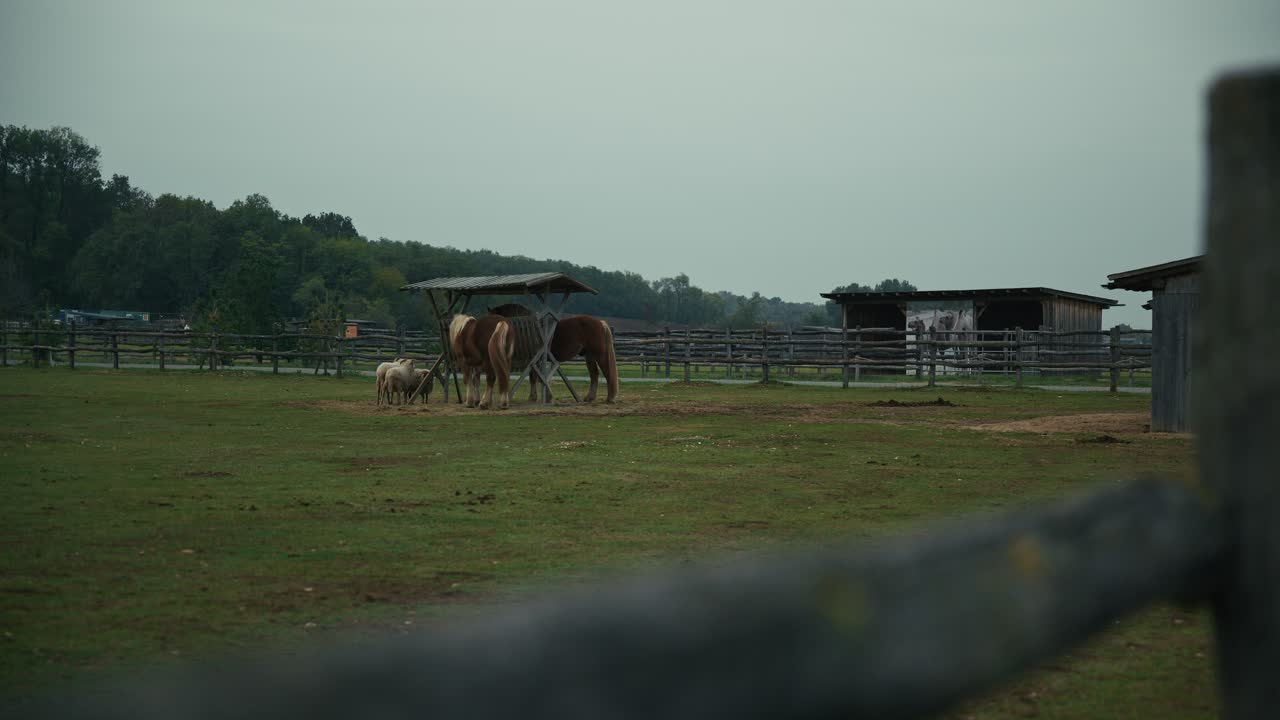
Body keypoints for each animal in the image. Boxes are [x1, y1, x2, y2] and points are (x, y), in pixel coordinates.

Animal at [488, 304, 619, 404]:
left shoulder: (535, 359)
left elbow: (534, 378)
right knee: (594, 375)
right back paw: (589, 398)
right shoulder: (534, 360)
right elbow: (534, 378)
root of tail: (600, 323)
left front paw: (535, 397)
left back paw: (610, 398)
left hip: (599, 355)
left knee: (607, 373)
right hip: (589, 356)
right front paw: (536, 397)